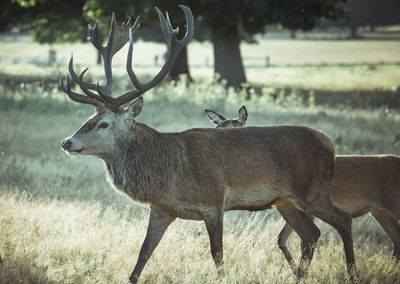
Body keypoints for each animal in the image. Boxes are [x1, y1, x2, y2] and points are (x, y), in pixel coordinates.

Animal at [58, 6, 354, 282]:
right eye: (88, 118)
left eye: (104, 124)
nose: (66, 142)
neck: (166, 174)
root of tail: (330, 144)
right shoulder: (161, 209)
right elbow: (143, 254)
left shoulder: (214, 202)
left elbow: (217, 254)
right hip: (285, 200)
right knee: (311, 234)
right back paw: (301, 275)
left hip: (314, 190)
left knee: (343, 220)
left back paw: (352, 272)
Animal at [208, 107, 400, 270]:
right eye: (217, 126)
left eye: (235, 128)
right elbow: (283, 239)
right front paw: (294, 271)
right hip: (380, 212)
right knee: (396, 240)